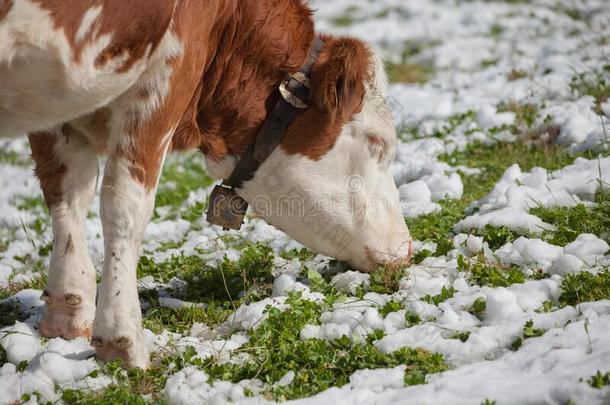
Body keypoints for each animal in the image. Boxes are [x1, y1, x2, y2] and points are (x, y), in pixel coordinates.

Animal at [0, 0, 414, 368]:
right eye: (377, 142)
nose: (405, 247)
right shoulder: (169, 72)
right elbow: (124, 205)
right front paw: (121, 337)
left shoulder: (57, 110)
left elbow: (67, 191)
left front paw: (67, 311)